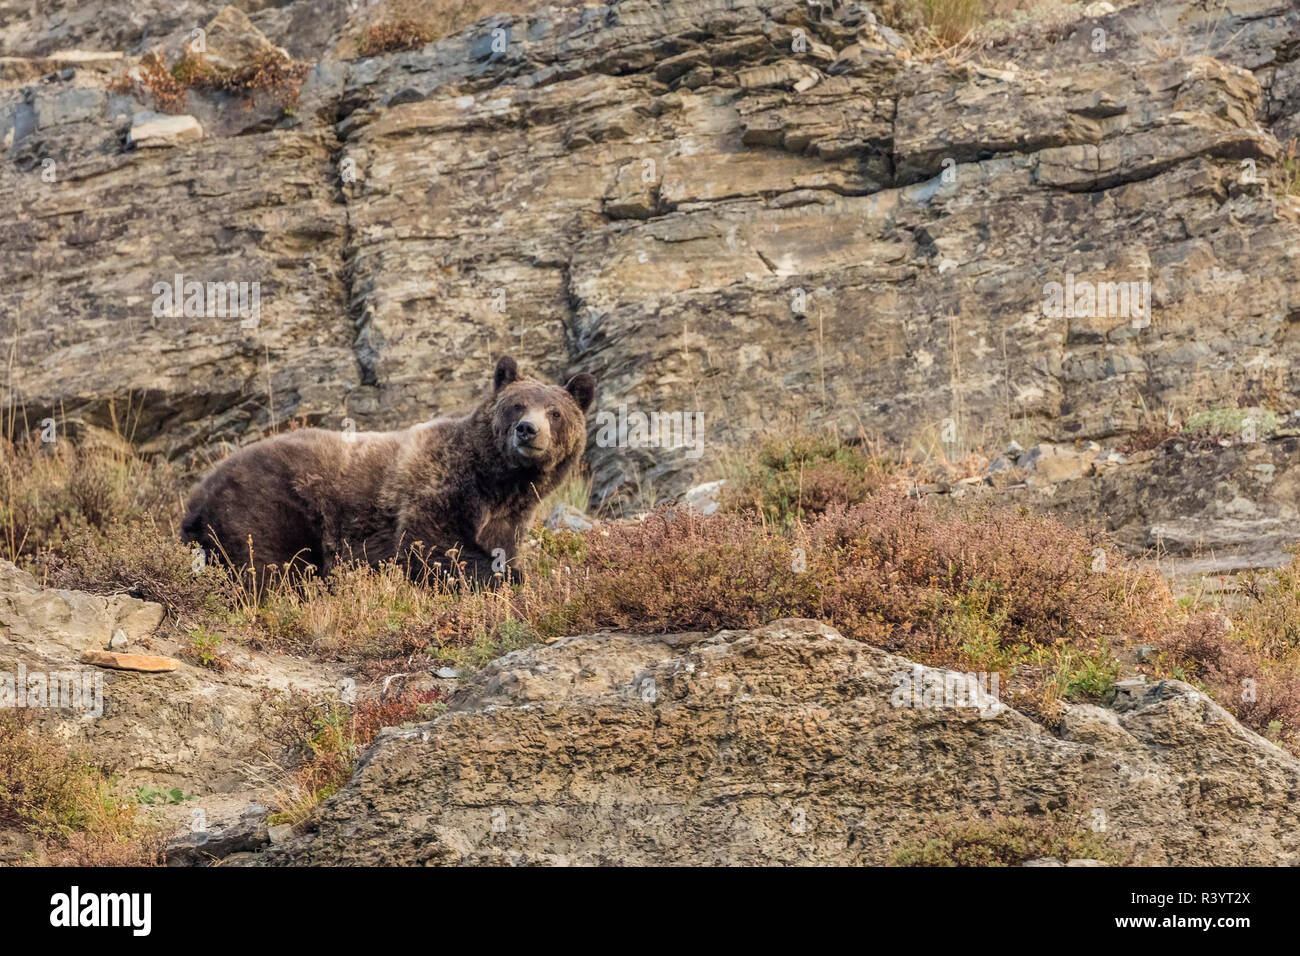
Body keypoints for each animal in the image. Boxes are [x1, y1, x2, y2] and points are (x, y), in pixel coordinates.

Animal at [180, 356, 595, 587]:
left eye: (555, 412)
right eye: (517, 404)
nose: (528, 430)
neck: (500, 482)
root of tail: (198, 492)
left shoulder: (509, 516)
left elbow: (497, 548)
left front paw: (510, 570)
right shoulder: (437, 484)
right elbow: (431, 545)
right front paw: (508, 578)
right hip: (272, 499)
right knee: (267, 562)